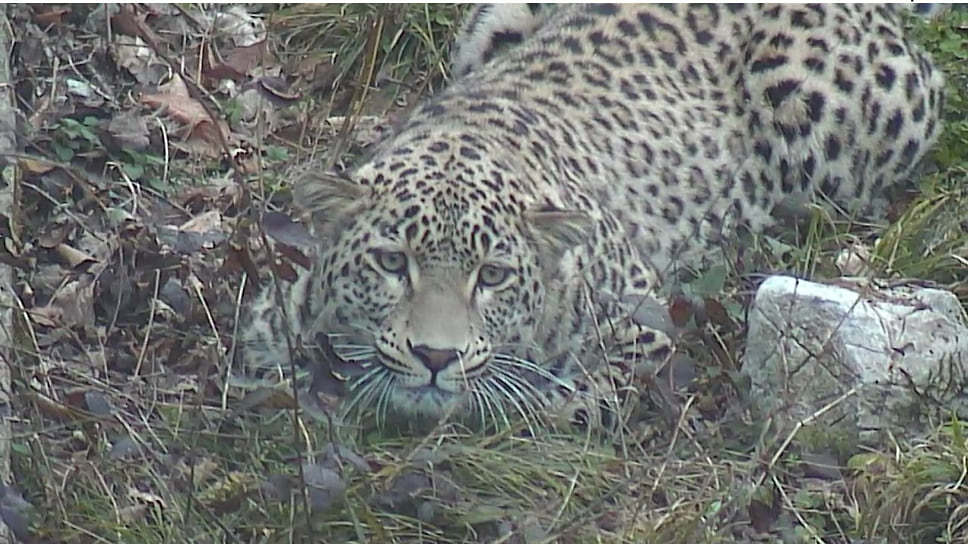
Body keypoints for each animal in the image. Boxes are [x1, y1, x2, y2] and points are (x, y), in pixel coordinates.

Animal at [236, 3, 944, 434]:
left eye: (492, 277)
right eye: (391, 263)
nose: (436, 355)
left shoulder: (642, 329)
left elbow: (546, 406)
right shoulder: (267, 329)